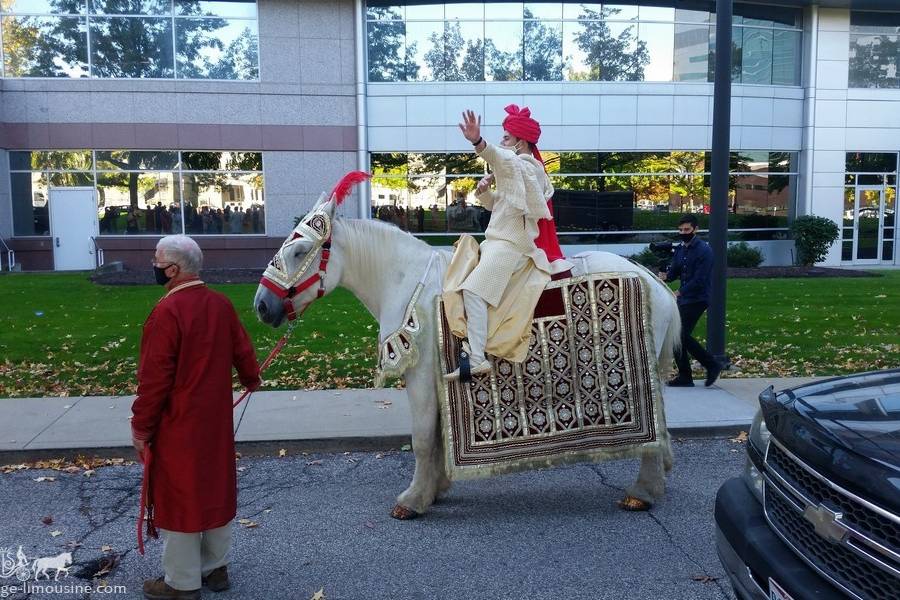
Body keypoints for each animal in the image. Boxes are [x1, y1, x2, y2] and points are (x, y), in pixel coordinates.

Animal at [256, 185, 680, 516]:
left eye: (300, 251)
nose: (261, 306)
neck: (405, 278)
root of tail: (652, 279)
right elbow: (437, 434)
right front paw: (435, 489)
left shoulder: (420, 374)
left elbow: (423, 437)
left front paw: (413, 500)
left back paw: (642, 492)